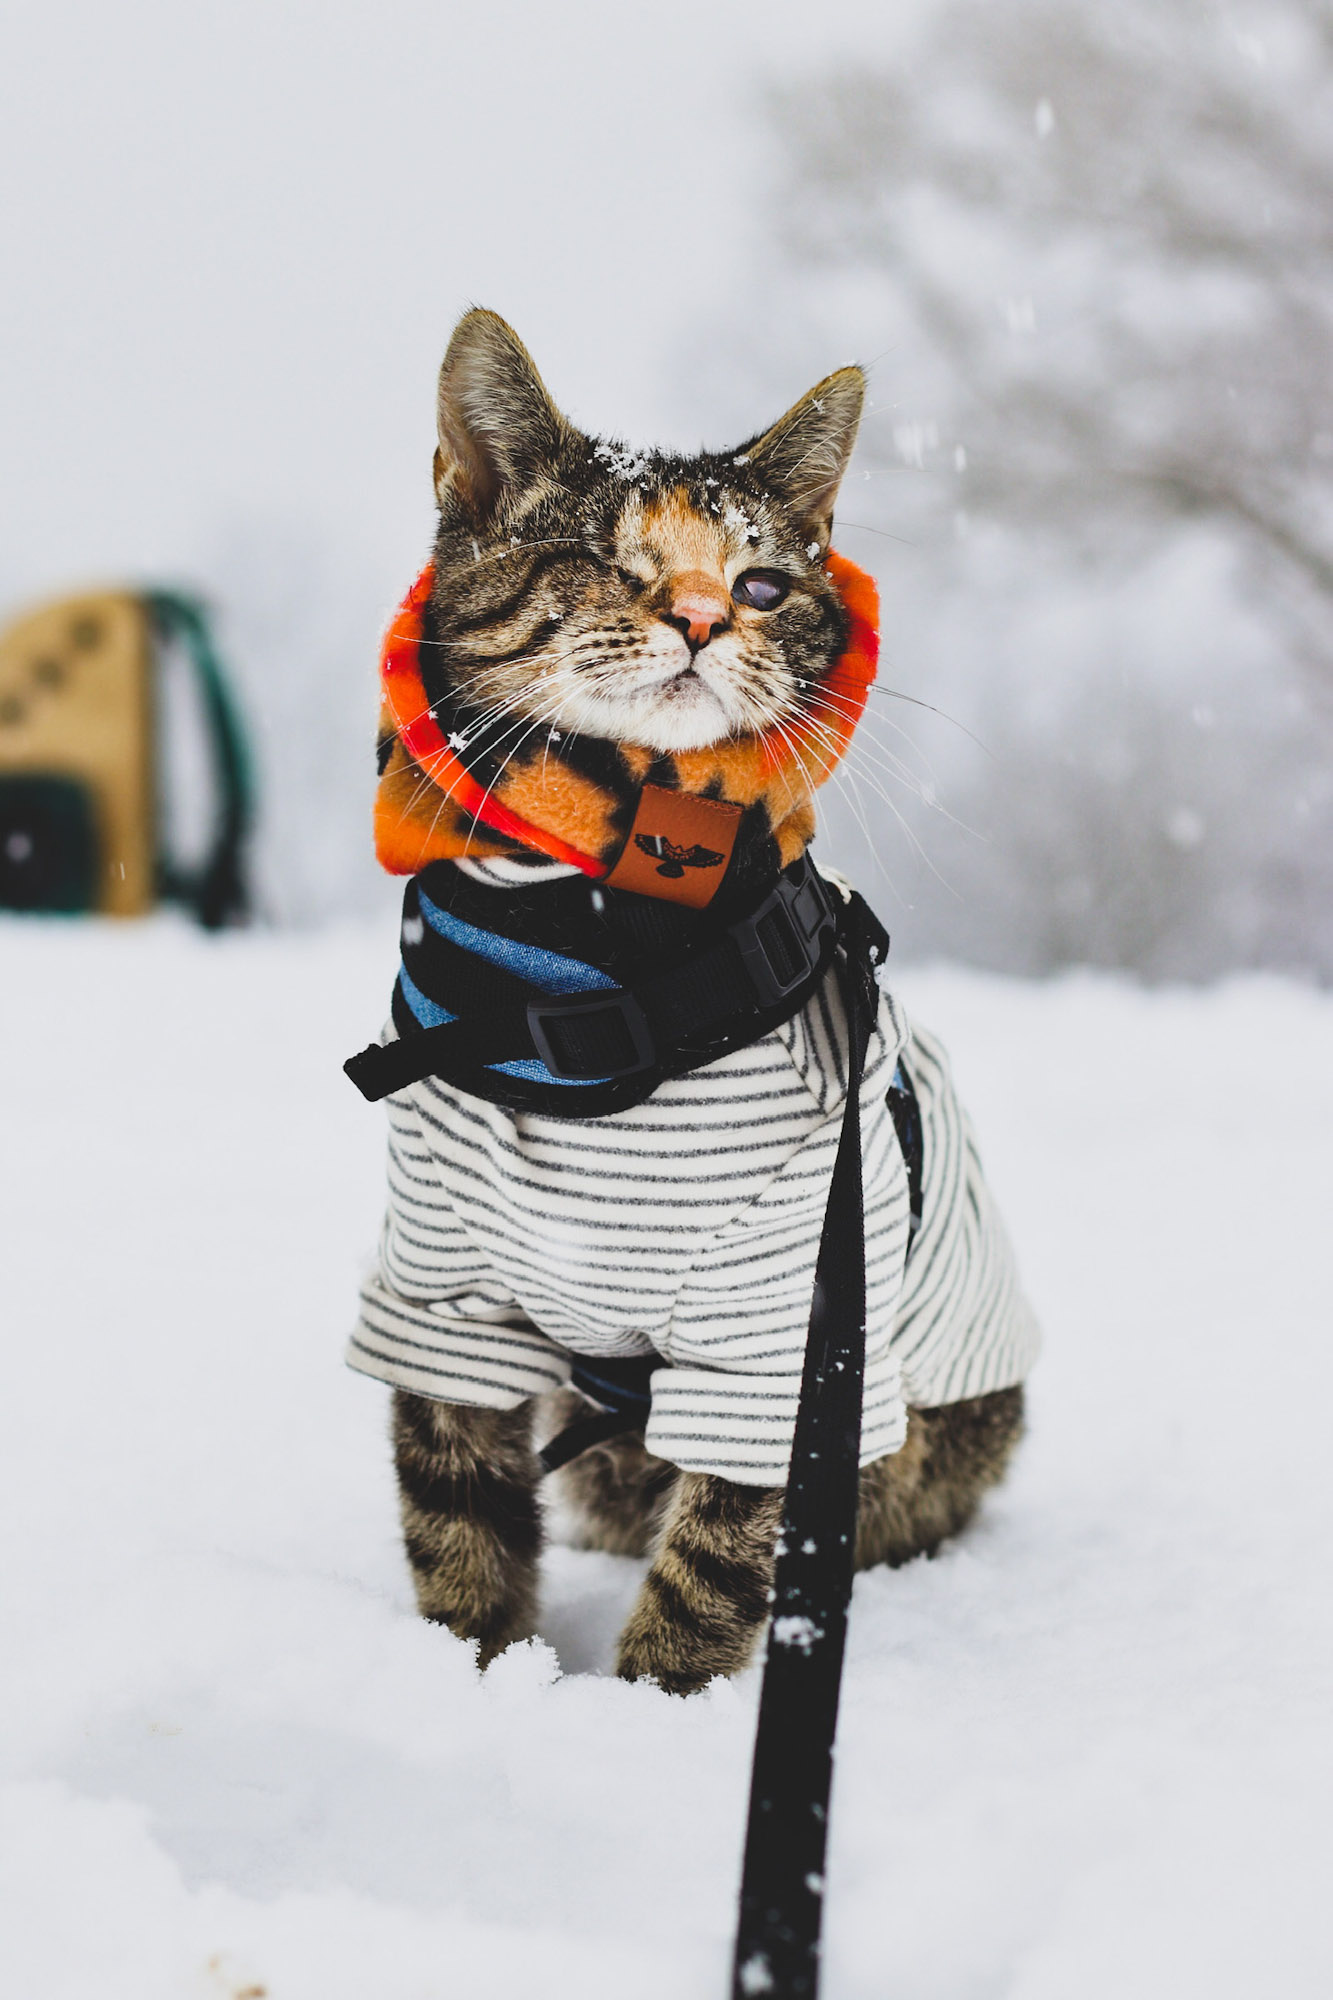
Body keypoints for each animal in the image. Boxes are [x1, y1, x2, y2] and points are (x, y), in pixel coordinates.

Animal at [356, 308, 1040, 1688]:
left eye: (764, 583)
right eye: (596, 557)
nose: (704, 615)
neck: (587, 966)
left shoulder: (786, 1327)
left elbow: (719, 1553)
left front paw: (653, 1705)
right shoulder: (441, 1286)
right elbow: (455, 1512)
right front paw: (466, 1681)